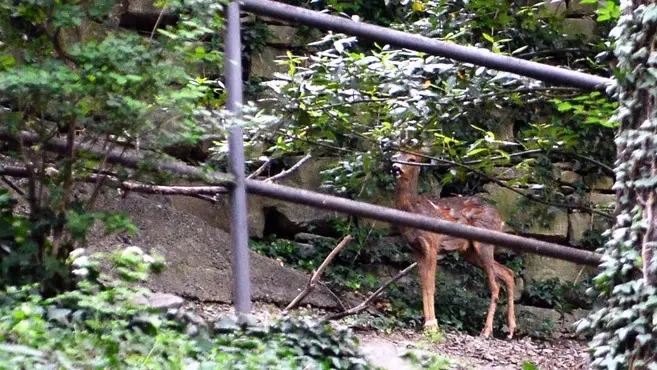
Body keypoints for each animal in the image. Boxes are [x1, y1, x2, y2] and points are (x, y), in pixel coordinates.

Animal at [390, 150, 516, 338]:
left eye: (412, 159)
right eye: (394, 157)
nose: (395, 168)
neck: (414, 210)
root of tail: (501, 220)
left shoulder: (432, 243)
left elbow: (431, 285)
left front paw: (432, 326)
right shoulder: (416, 248)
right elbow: (424, 284)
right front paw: (427, 324)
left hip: (483, 244)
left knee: (495, 285)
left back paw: (486, 331)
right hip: (469, 251)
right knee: (507, 273)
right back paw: (511, 330)